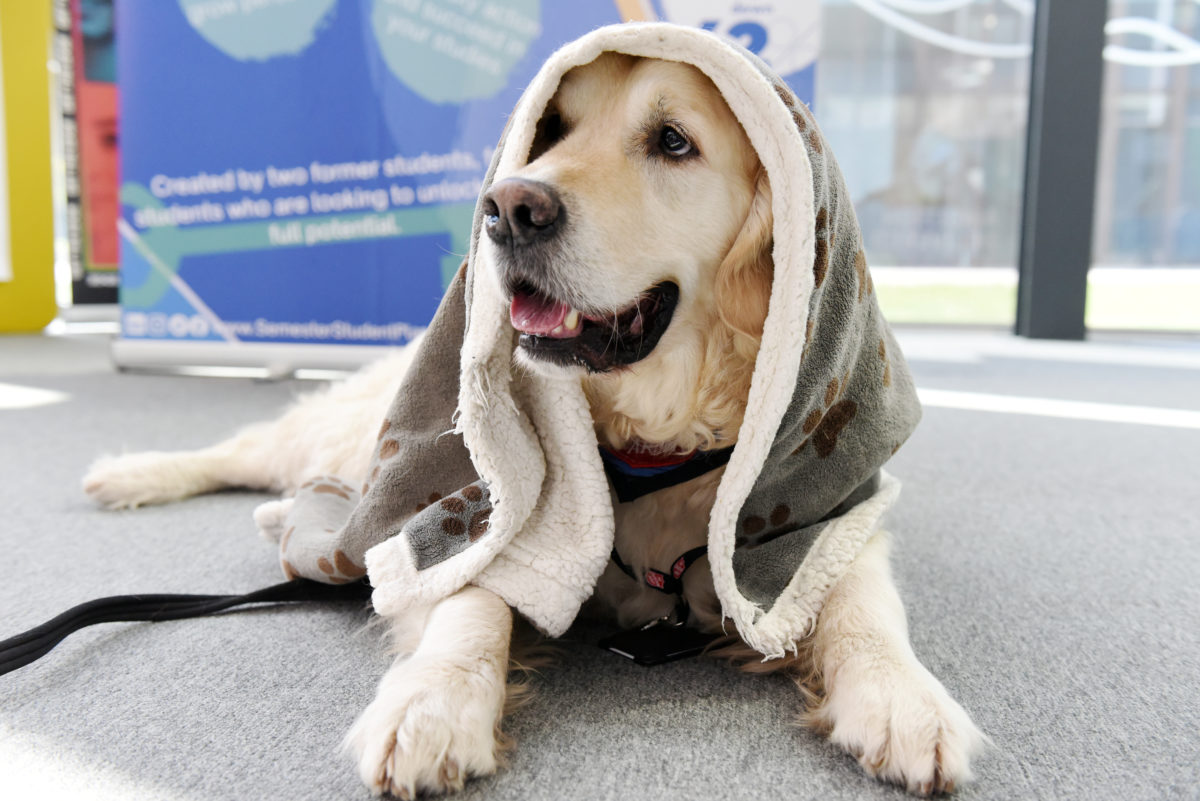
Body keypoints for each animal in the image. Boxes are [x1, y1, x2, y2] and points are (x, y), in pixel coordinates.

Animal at [84, 53, 984, 796]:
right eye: (551, 130)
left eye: (672, 141)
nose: (508, 208)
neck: (652, 441)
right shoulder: (476, 506)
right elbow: (467, 602)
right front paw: (432, 702)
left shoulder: (830, 520)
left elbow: (861, 605)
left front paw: (906, 701)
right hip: (331, 432)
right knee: (240, 453)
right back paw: (130, 474)